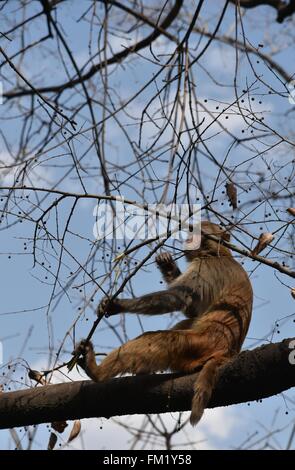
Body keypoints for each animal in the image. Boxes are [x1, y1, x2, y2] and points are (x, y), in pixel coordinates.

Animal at [75, 221, 253, 426]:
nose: (188, 240)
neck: (219, 253)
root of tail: (228, 352)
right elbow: (191, 310)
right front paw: (168, 265)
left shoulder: (205, 267)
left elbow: (177, 299)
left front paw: (117, 304)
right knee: (188, 321)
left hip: (200, 345)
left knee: (164, 339)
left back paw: (97, 371)